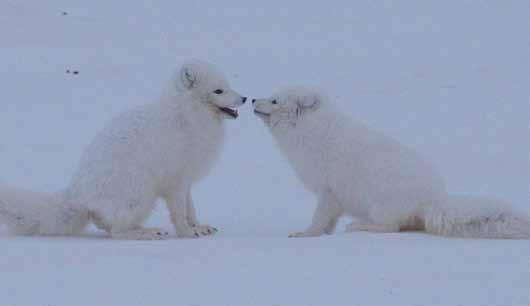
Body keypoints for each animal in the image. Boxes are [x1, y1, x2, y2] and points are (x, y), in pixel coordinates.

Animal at [0, 59, 248, 240]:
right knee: (117, 232)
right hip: (141, 191)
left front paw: (198, 227)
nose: (244, 98)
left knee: (108, 226)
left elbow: (191, 208)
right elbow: (179, 213)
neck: (186, 117)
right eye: (218, 90)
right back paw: (149, 232)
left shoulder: (185, 180)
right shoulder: (175, 181)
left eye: (228, 86)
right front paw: (187, 234)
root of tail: (76, 195)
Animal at [253, 86, 528, 239]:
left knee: (392, 227)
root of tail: (434, 200)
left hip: (379, 205)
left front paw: (306, 234)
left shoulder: (328, 191)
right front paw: (323, 234)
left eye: (275, 100)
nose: (254, 99)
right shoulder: (332, 197)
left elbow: (319, 218)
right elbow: (327, 222)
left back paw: (359, 226)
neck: (312, 131)